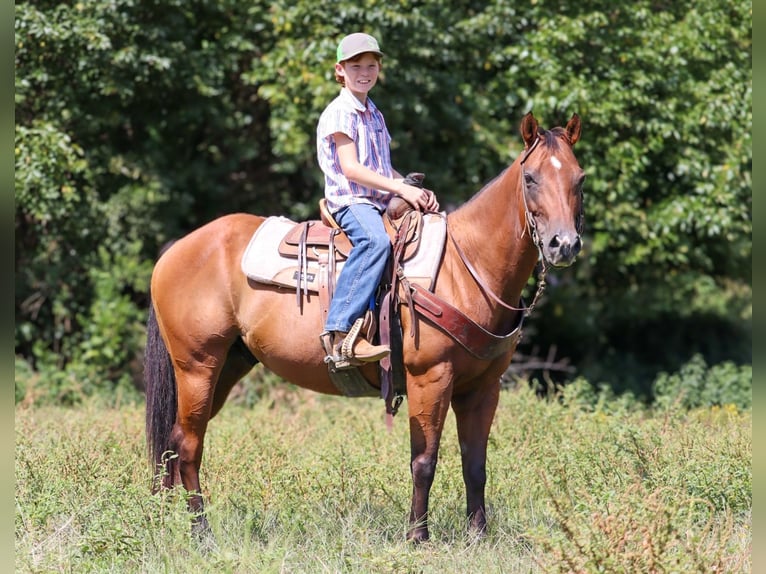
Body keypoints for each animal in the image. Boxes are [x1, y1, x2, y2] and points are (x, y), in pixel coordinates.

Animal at [144, 112, 584, 543]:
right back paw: (201, 534)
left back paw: (164, 524)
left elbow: (475, 463)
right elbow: (424, 460)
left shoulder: (483, 388)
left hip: (228, 366)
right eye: (531, 178)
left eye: (579, 178)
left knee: (174, 442)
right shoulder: (430, 378)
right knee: (188, 445)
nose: (564, 244)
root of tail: (175, 250)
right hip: (197, 366)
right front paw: (417, 537)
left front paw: (477, 537)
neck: (465, 267)